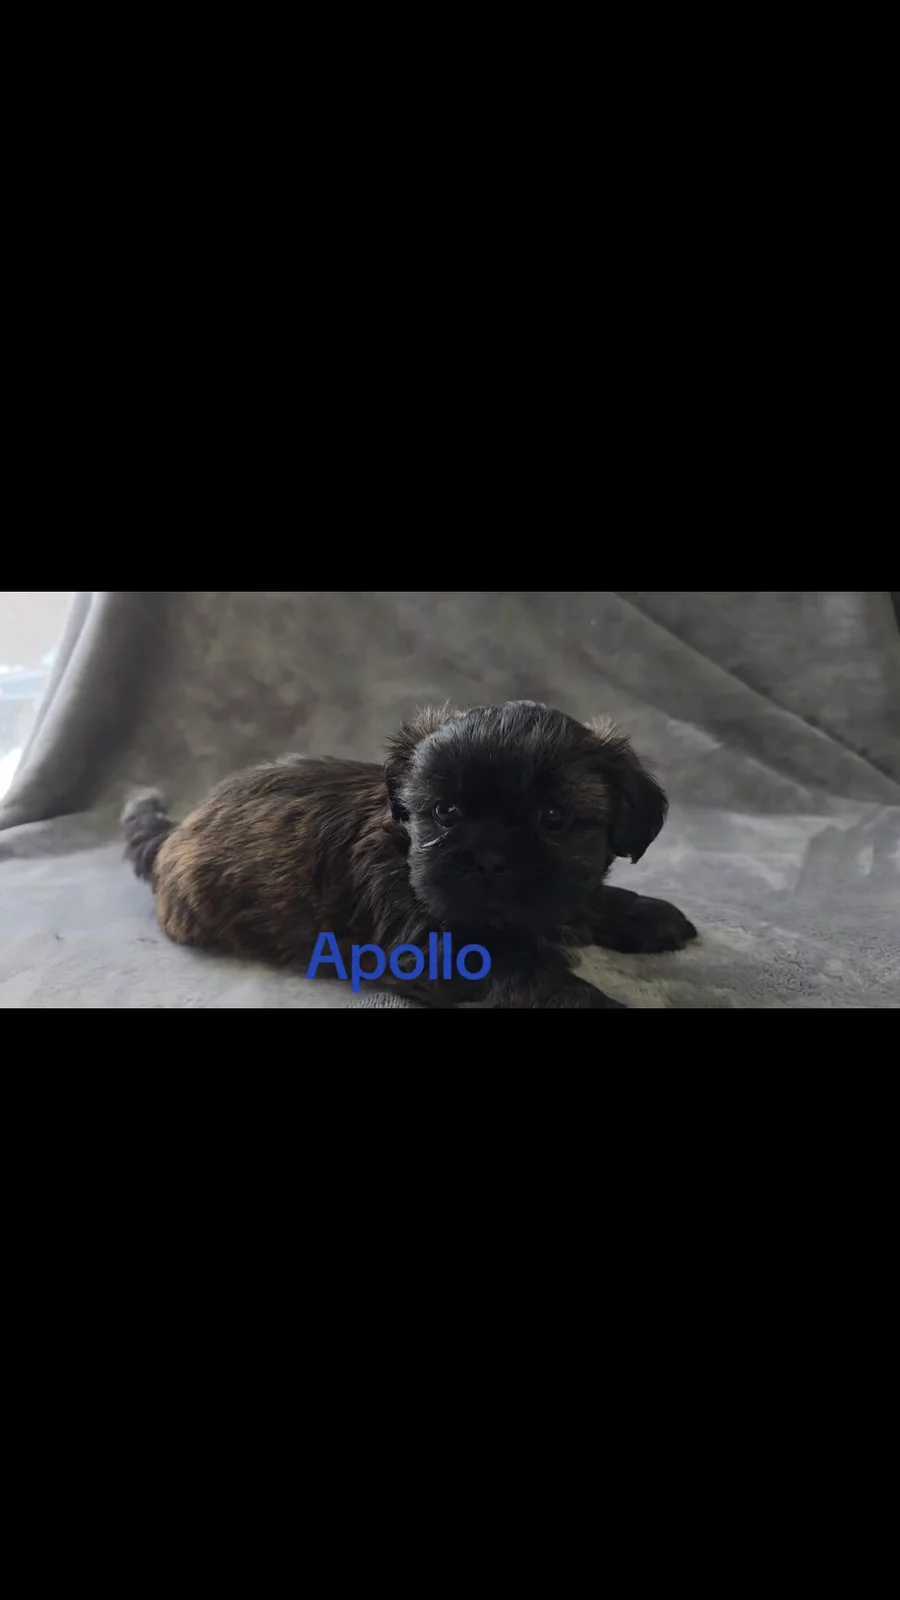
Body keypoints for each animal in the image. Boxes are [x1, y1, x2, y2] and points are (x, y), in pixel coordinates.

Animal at [123, 700, 696, 1007]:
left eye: (553, 819)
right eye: (445, 812)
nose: (489, 859)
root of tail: (177, 830)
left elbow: (587, 898)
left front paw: (643, 913)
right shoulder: (442, 950)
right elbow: (540, 978)